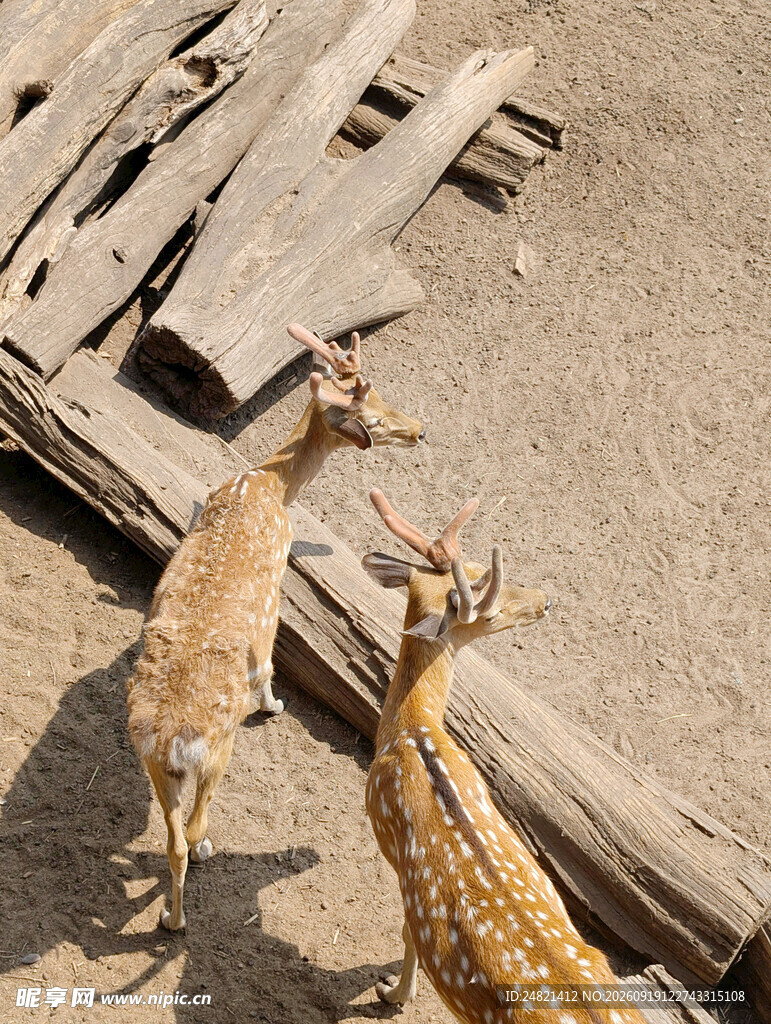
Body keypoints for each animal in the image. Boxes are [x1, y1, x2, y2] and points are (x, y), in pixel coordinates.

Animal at [126, 324, 424, 933]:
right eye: (375, 415)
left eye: (384, 400)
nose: (420, 429)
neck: (269, 481)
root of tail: (169, 741)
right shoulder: (276, 586)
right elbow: (267, 662)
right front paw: (274, 703)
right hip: (216, 754)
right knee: (192, 832)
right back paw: (193, 888)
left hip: (155, 770)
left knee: (171, 842)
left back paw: (169, 918)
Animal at [361, 489, 647, 1024]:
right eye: (488, 613)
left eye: (479, 564)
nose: (545, 600)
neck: (409, 732)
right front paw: (394, 990)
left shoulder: (392, 851)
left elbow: (408, 932)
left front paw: (392, 992)